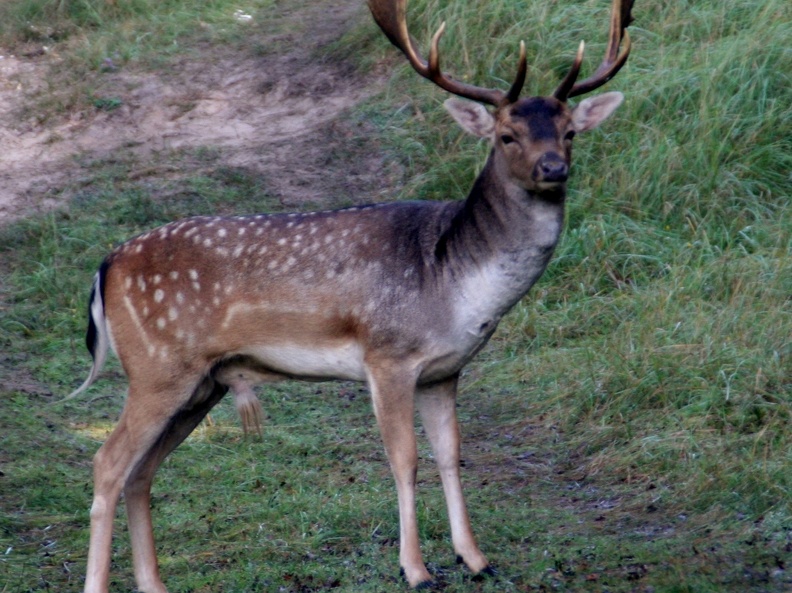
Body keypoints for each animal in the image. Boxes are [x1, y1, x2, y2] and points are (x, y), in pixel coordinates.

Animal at [71, 0, 636, 588]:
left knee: (141, 471)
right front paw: (417, 569)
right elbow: (405, 459)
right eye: (506, 135)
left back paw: (154, 582)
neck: (452, 281)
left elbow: (451, 455)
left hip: (202, 383)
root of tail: (106, 267)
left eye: (570, 131)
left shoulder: (445, 371)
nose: (553, 168)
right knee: (107, 463)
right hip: (158, 367)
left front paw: (475, 559)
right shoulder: (388, 356)